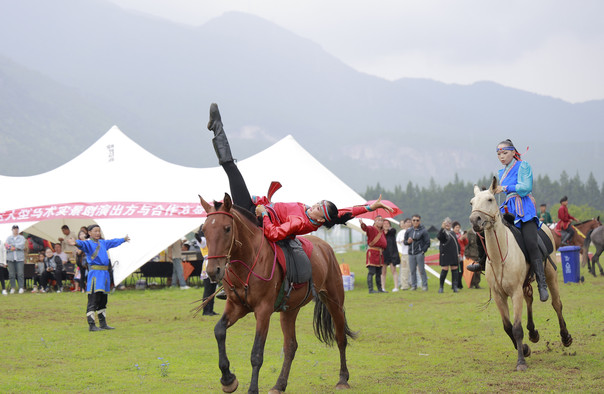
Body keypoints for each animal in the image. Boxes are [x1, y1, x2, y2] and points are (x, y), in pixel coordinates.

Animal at [470, 177, 572, 370]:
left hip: (550, 275)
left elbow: (516, 328)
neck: (499, 257)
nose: (474, 220)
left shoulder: (515, 292)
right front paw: (524, 349)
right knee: (530, 300)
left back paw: (565, 337)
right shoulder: (499, 295)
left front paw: (521, 362)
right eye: (472, 202)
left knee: (557, 304)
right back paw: (533, 333)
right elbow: (508, 327)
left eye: (490, 199)